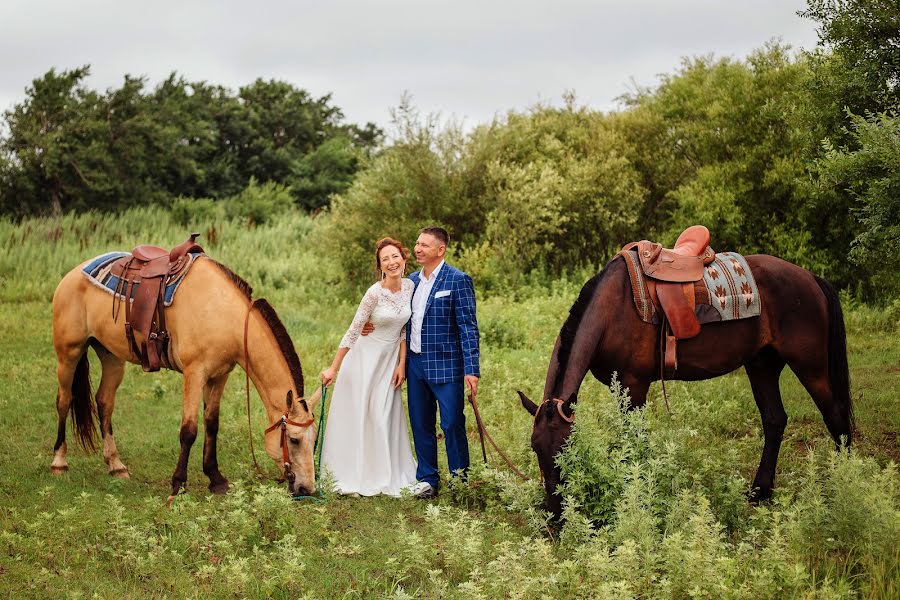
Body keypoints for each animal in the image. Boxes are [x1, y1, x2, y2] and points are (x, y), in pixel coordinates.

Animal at [52, 237, 318, 500]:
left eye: (314, 438)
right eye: (294, 440)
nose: (307, 488)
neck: (223, 315)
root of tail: (72, 275)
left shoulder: (219, 376)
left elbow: (212, 424)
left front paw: (216, 479)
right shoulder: (194, 373)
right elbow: (189, 430)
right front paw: (178, 484)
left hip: (111, 356)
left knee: (105, 402)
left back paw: (116, 466)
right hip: (69, 353)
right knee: (64, 400)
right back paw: (59, 463)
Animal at [520, 226, 852, 520]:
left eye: (567, 446)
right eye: (536, 447)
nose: (555, 511)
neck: (612, 309)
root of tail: (810, 277)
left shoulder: (635, 385)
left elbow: (635, 438)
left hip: (810, 366)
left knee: (836, 418)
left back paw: (842, 488)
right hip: (762, 365)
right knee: (775, 420)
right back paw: (760, 491)